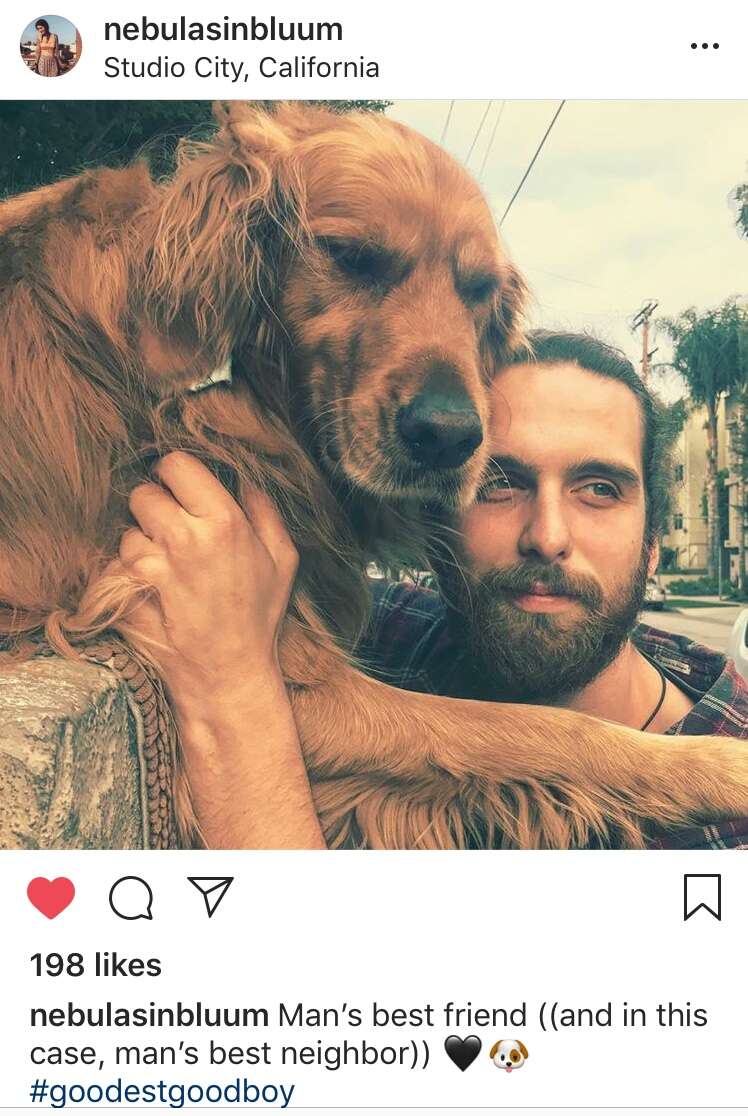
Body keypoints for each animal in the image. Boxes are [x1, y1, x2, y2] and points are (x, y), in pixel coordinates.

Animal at [1, 102, 748, 843]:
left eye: (478, 289)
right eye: (349, 257)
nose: (449, 436)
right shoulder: (293, 692)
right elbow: (547, 729)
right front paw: (715, 764)